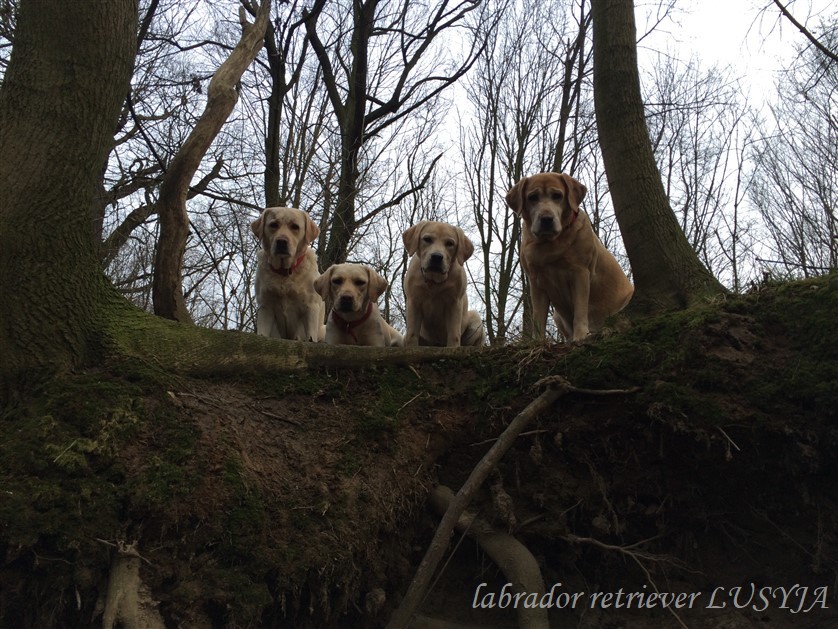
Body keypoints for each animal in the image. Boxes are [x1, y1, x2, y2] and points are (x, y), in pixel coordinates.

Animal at [251, 206, 325, 341]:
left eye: (295, 227)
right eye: (273, 225)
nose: (281, 242)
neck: (285, 272)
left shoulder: (311, 306)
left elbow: (311, 335)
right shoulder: (265, 305)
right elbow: (263, 331)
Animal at [506, 172, 634, 342]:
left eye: (557, 196)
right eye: (532, 197)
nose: (546, 219)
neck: (550, 243)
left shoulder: (580, 273)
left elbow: (580, 310)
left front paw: (580, 335)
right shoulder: (536, 281)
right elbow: (538, 317)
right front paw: (537, 341)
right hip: (556, 315)